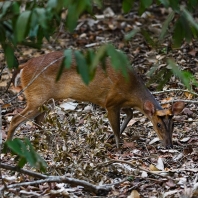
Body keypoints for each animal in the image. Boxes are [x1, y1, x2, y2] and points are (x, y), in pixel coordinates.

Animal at [6, 51, 185, 148]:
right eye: (158, 124)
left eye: (173, 124)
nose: (169, 145)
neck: (132, 89)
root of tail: (23, 67)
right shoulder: (110, 103)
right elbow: (116, 126)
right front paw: (118, 146)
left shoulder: (122, 103)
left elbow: (130, 115)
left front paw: (112, 137)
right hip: (37, 97)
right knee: (16, 118)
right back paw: (8, 145)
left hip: (45, 100)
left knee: (37, 120)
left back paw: (50, 141)